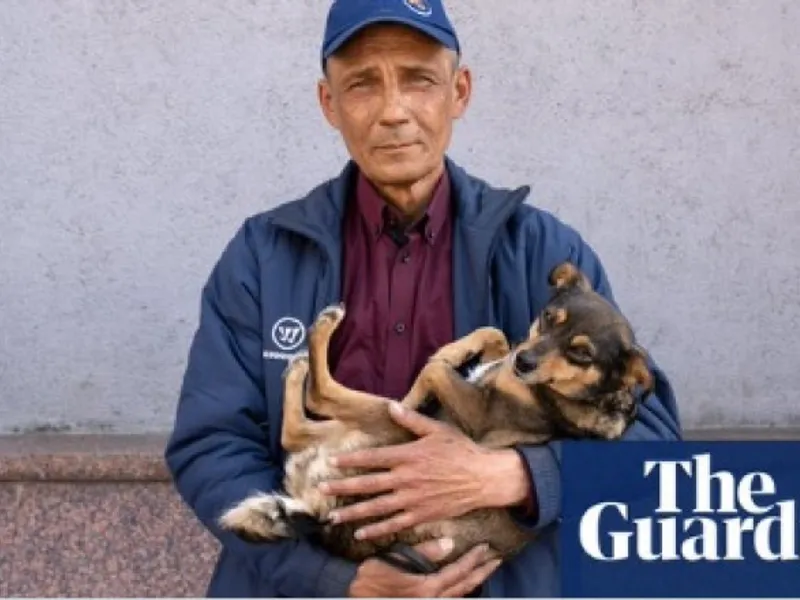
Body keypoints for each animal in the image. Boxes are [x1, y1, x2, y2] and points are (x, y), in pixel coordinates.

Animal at [216, 264, 652, 572]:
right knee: (298, 429)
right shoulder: (505, 359)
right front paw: (465, 352)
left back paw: (322, 335)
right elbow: (493, 335)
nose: (525, 362)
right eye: (549, 317)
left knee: (318, 400)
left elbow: (435, 370)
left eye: (581, 353)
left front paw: (422, 385)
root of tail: (323, 519)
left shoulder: (478, 414)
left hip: (384, 424)